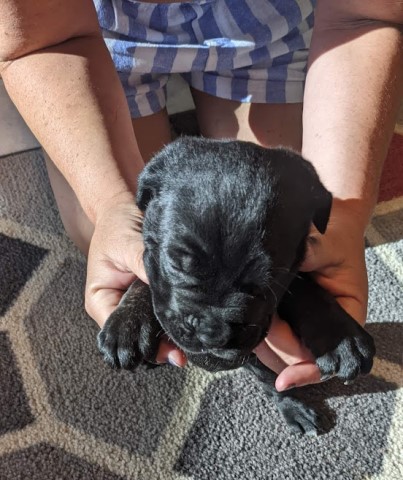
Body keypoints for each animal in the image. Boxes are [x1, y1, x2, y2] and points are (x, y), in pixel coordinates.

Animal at [98, 136, 376, 436]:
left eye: (268, 281)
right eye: (176, 263)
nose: (212, 332)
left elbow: (301, 292)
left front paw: (341, 337)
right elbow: (143, 279)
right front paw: (128, 324)